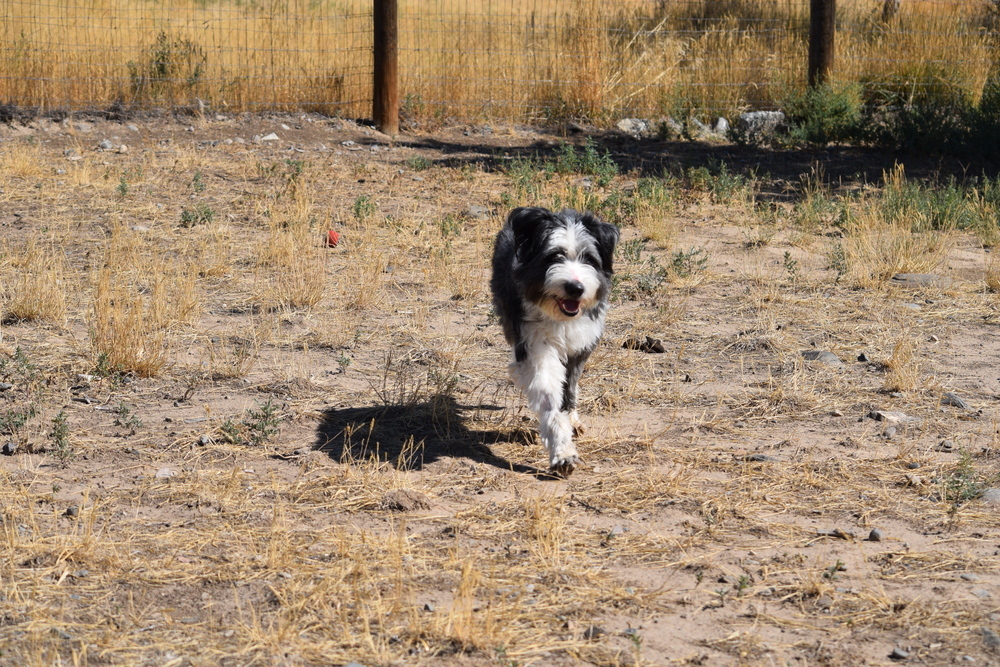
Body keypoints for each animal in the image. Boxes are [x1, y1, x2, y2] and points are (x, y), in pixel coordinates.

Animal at [490, 207, 620, 474]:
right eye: (553, 256)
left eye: (588, 259)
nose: (575, 288)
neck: (562, 318)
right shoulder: (535, 346)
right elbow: (550, 397)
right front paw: (563, 453)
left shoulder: (581, 347)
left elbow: (569, 387)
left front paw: (570, 419)